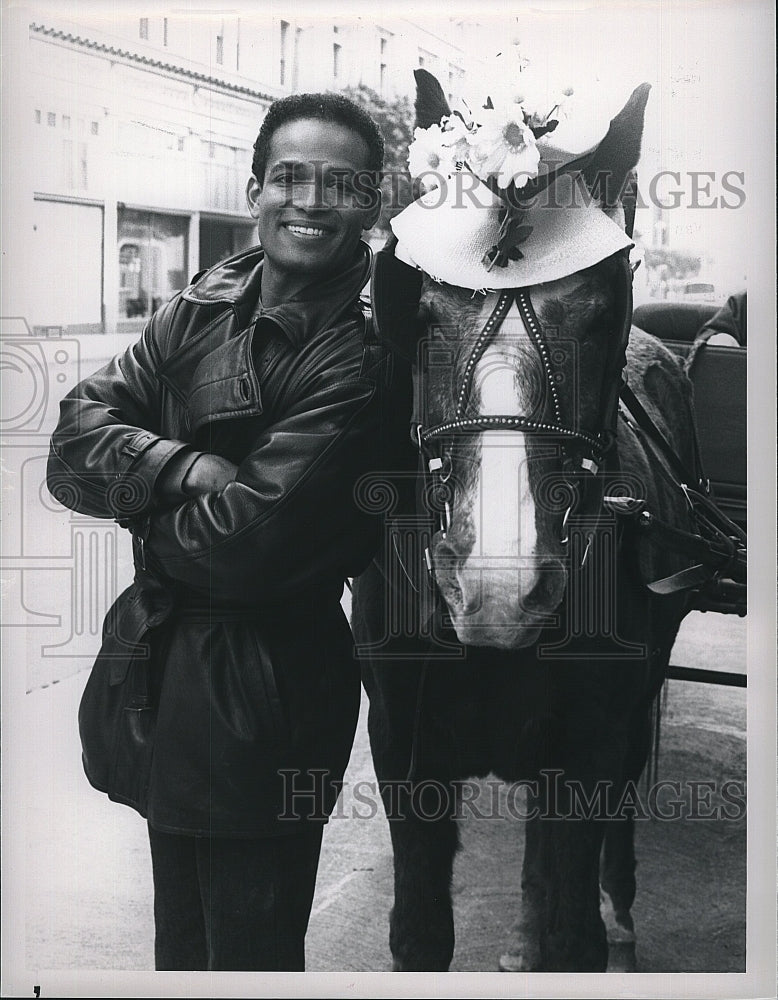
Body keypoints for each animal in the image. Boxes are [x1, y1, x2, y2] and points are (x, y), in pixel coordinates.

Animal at [348, 68, 700, 968]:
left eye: (606, 309)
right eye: (420, 310)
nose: (496, 590)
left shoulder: (586, 755)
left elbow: (575, 923)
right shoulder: (406, 758)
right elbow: (419, 930)